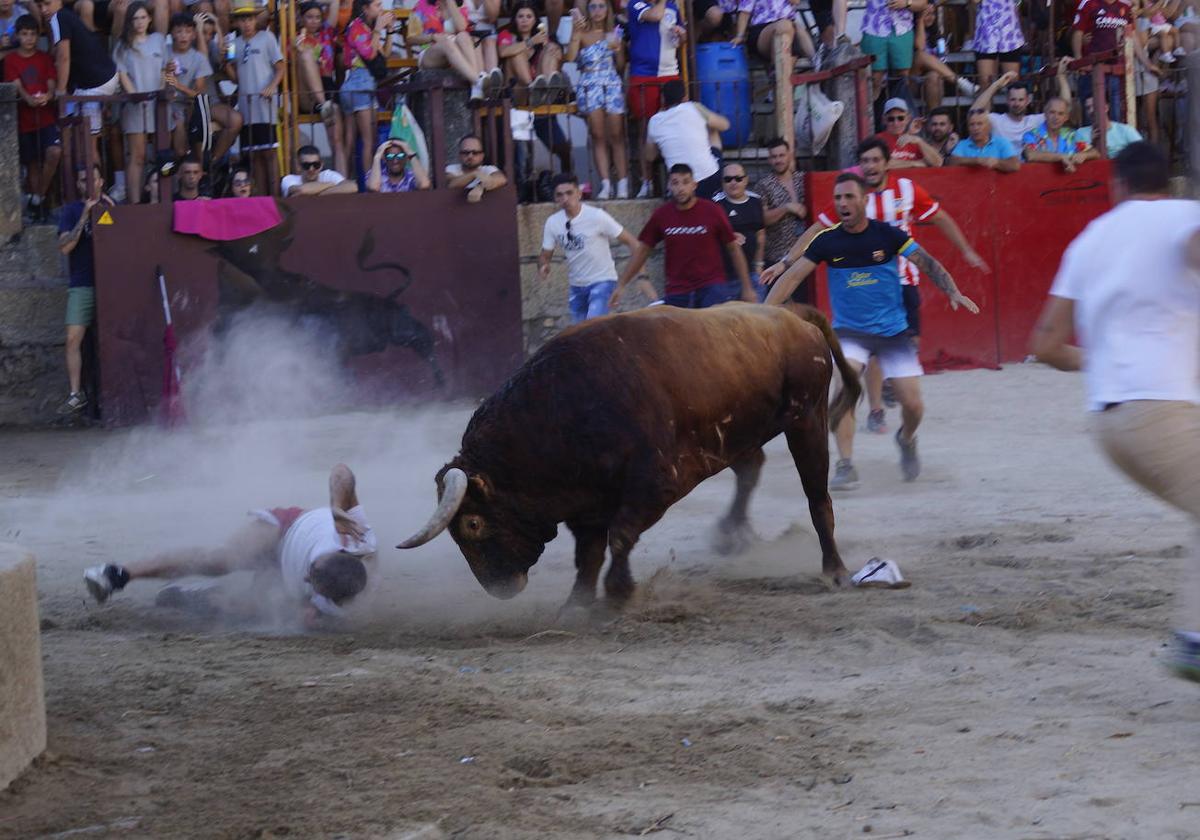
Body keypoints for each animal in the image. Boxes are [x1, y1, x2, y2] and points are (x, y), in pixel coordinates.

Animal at [398, 304, 859, 607]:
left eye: (473, 523)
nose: (499, 587)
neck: (560, 412)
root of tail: (793, 316)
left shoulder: (654, 485)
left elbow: (619, 537)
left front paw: (620, 593)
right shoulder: (586, 504)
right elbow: (588, 554)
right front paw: (577, 605)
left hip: (807, 418)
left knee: (817, 497)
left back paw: (835, 571)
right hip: (746, 432)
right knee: (751, 471)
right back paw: (731, 533)